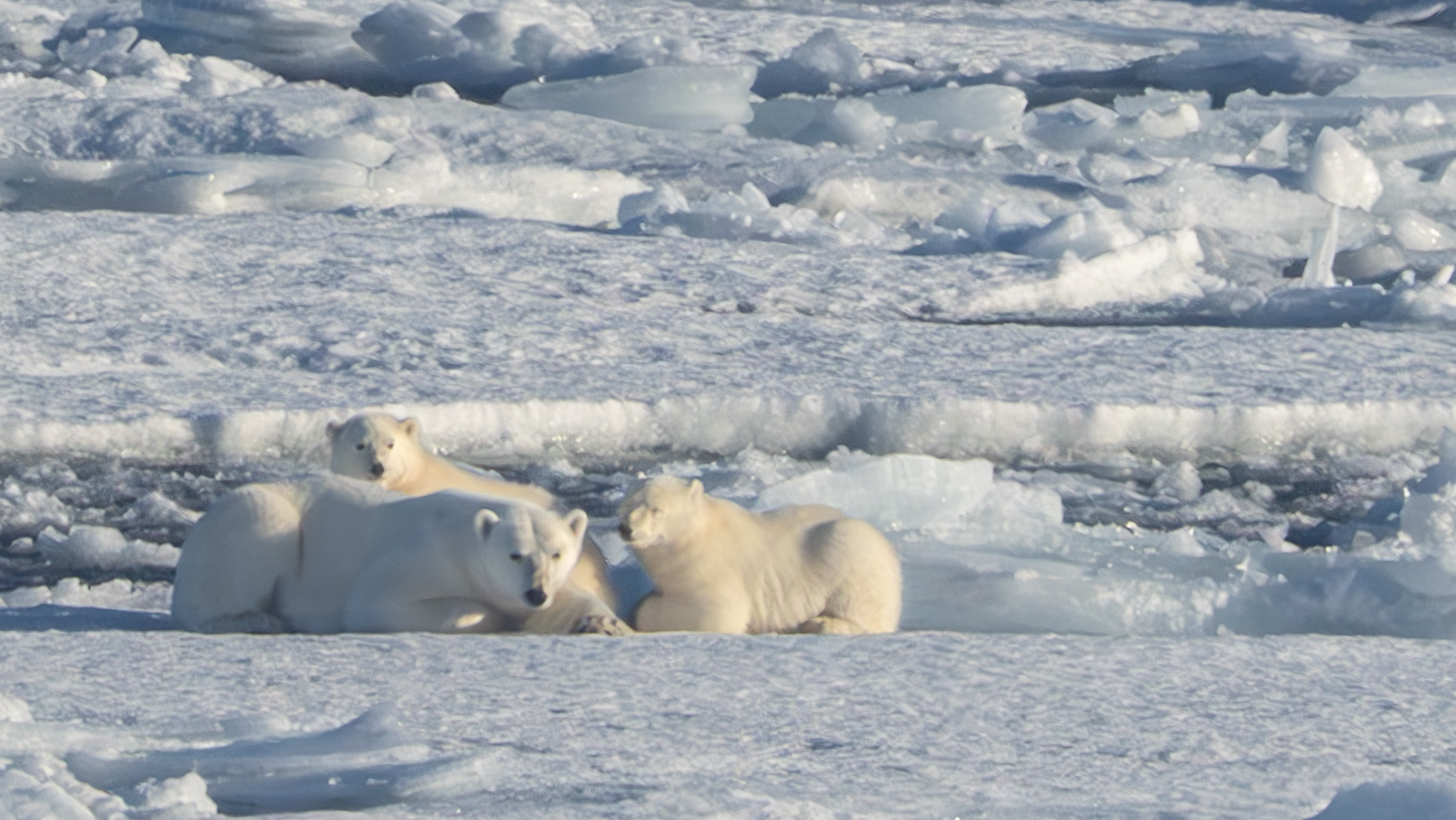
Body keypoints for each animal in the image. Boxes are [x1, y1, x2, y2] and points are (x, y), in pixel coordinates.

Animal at [171, 475, 628, 636]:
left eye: (557, 553)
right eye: (514, 555)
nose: (536, 593)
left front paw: (602, 623)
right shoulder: (422, 556)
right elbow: (372, 604)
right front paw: (492, 616)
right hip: (253, 523)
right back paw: (258, 619)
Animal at [617, 475, 902, 635]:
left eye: (655, 508)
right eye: (625, 505)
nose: (626, 528)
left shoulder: (707, 567)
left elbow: (720, 613)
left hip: (853, 553)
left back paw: (819, 624)